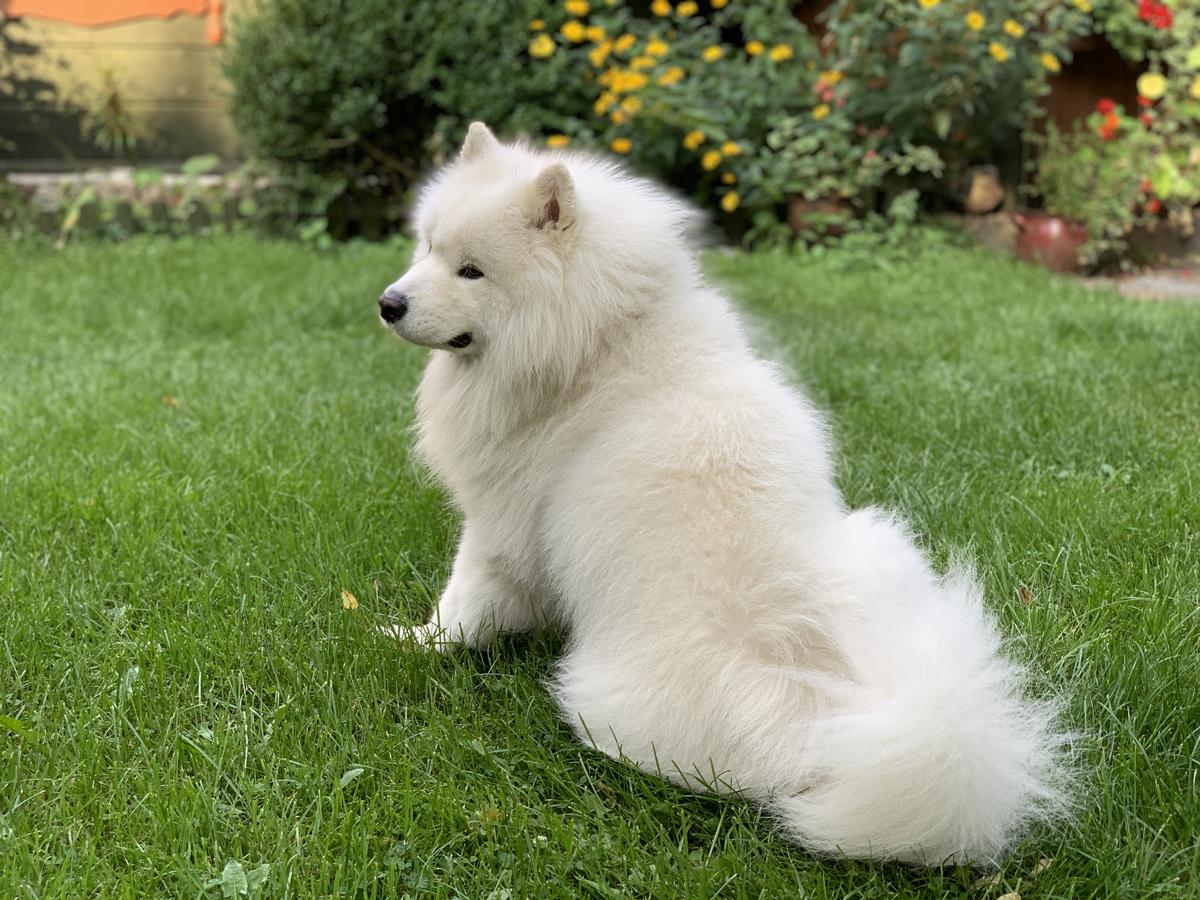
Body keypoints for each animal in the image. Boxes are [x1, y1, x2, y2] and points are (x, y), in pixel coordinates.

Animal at [376, 121, 1070, 868]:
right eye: (428, 247)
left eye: (472, 271)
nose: (389, 304)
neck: (597, 347)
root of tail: (824, 718)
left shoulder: (499, 525)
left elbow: (464, 601)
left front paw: (415, 642)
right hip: (879, 548)